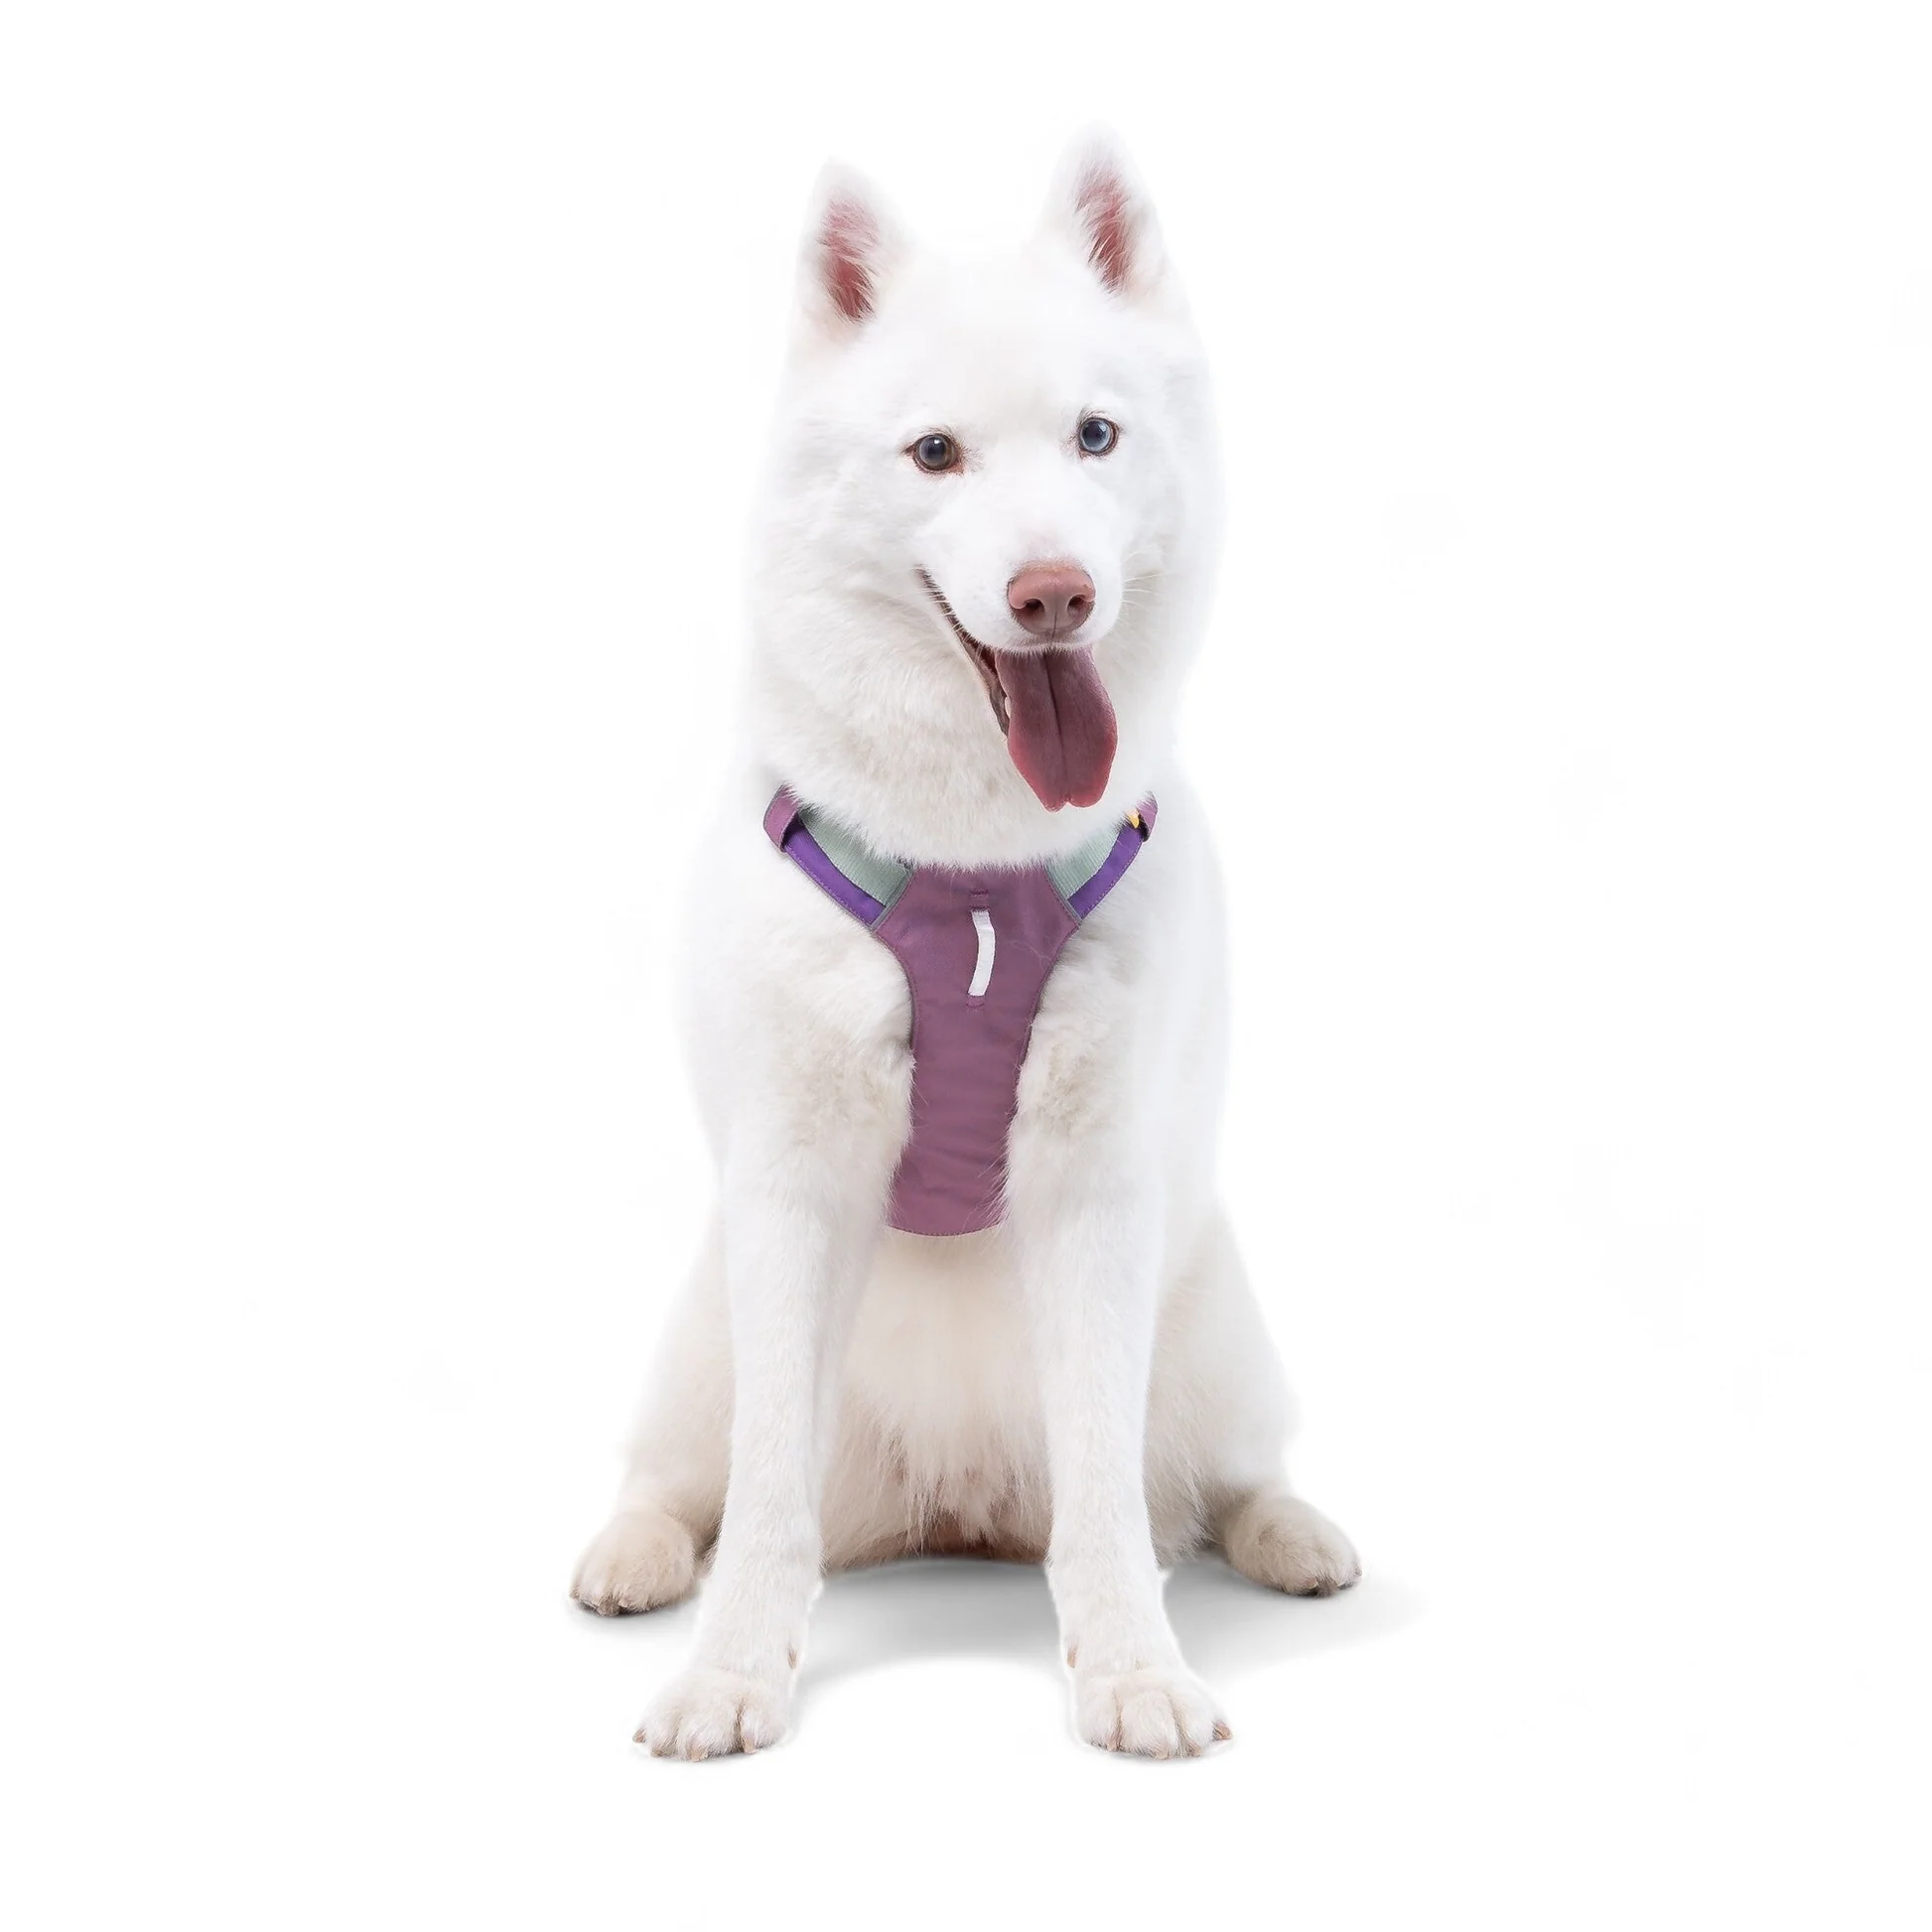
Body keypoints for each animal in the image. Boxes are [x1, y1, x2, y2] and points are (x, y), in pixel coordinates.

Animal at [572, 132, 1359, 1758]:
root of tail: (955, 1505)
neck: (973, 868)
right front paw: (731, 1671)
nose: (1053, 591)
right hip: (698, 1332)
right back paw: (632, 1553)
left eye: (1095, 436)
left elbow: (1112, 1500)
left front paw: (1129, 1666)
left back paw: (1289, 1532)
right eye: (934, 454)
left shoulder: (1096, 1188)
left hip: (1218, 1320)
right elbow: (763, 1503)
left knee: (1213, 1476)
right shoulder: (791, 1191)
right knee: (682, 1475)